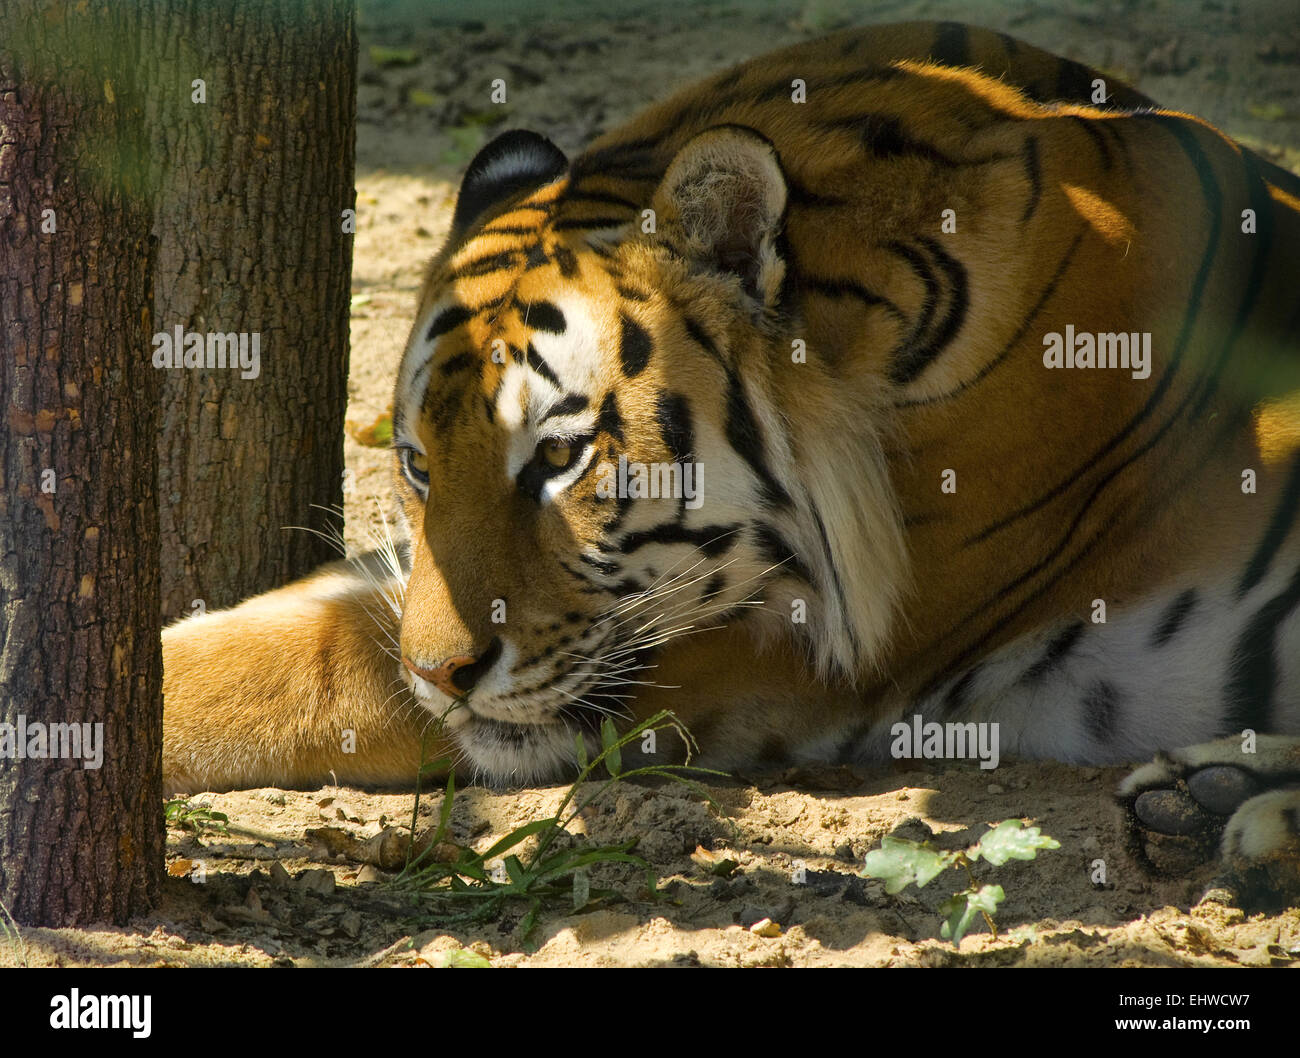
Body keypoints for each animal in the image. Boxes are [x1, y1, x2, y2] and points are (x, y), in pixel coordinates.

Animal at [162, 20, 1300, 909]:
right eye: (418, 465)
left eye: (560, 457)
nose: (440, 677)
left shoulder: (759, 653)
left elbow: (305, 662)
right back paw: (1203, 803)